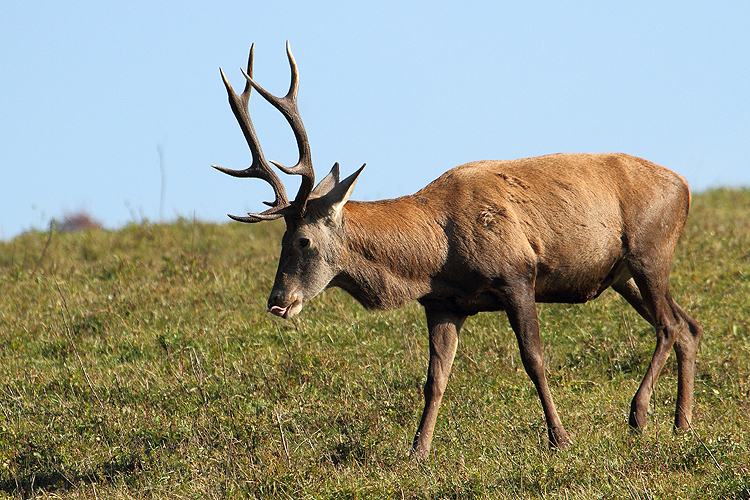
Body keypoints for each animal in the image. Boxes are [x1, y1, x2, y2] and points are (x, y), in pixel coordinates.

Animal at [213, 42, 704, 458]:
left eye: (303, 240)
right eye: (279, 240)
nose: (278, 301)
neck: (435, 259)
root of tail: (684, 188)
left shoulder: (517, 275)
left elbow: (534, 360)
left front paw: (560, 438)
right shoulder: (443, 304)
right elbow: (435, 379)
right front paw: (418, 451)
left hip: (649, 249)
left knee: (667, 325)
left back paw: (639, 414)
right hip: (622, 275)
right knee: (688, 324)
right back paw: (682, 422)